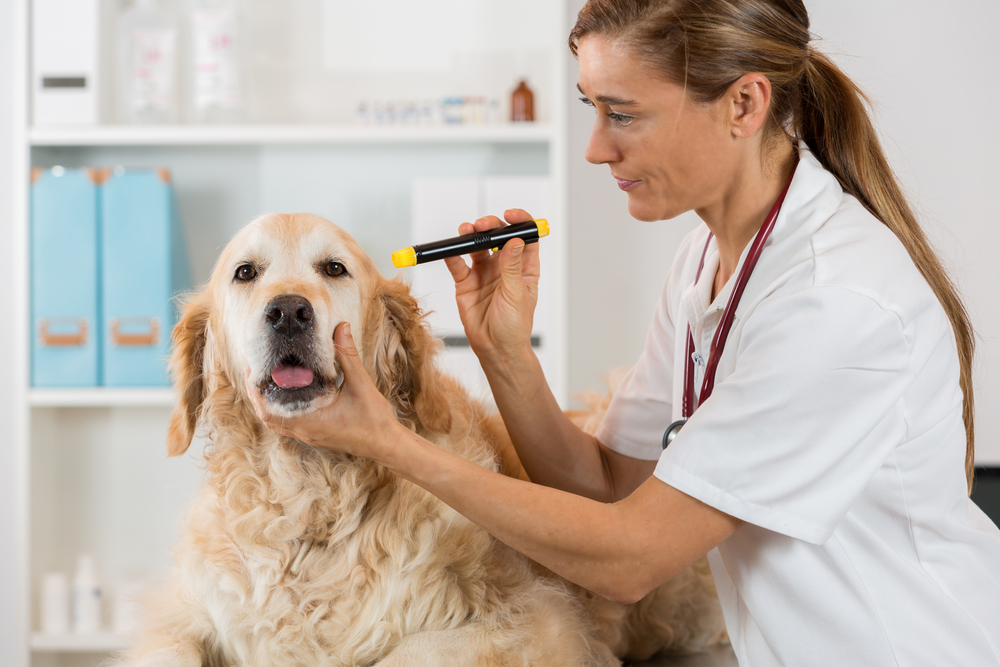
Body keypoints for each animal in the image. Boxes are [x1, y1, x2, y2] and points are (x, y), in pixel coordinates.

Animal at [117, 215, 724, 667]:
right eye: (246, 272)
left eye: (333, 268)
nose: (288, 311)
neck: (310, 509)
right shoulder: (180, 611)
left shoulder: (545, 621)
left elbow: (406, 653)